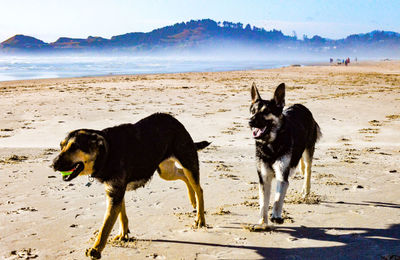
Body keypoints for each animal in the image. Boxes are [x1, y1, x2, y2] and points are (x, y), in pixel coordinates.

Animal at [51, 112, 211, 258]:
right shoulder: (116, 190)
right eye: (61, 146)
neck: (107, 153)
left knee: (199, 188)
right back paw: (192, 199)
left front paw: (96, 249)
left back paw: (200, 218)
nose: (52, 164)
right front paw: (123, 234)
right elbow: (122, 215)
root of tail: (174, 120)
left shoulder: (115, 193)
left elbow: (105, 226)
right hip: (166, 171)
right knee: (183, 176)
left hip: (187, 162)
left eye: (74, 147)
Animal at [248, 82, 320, 226]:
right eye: (253, 111)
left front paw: (276, 216)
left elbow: (277, 198)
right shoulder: (264, 178)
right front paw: (262, 222)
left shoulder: (282, 176)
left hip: (308, 151)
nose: (250, 122)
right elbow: (263, 203)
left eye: (266, 111)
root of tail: (301, 106)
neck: (270, 144)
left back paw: (306, 190)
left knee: (308, 170)